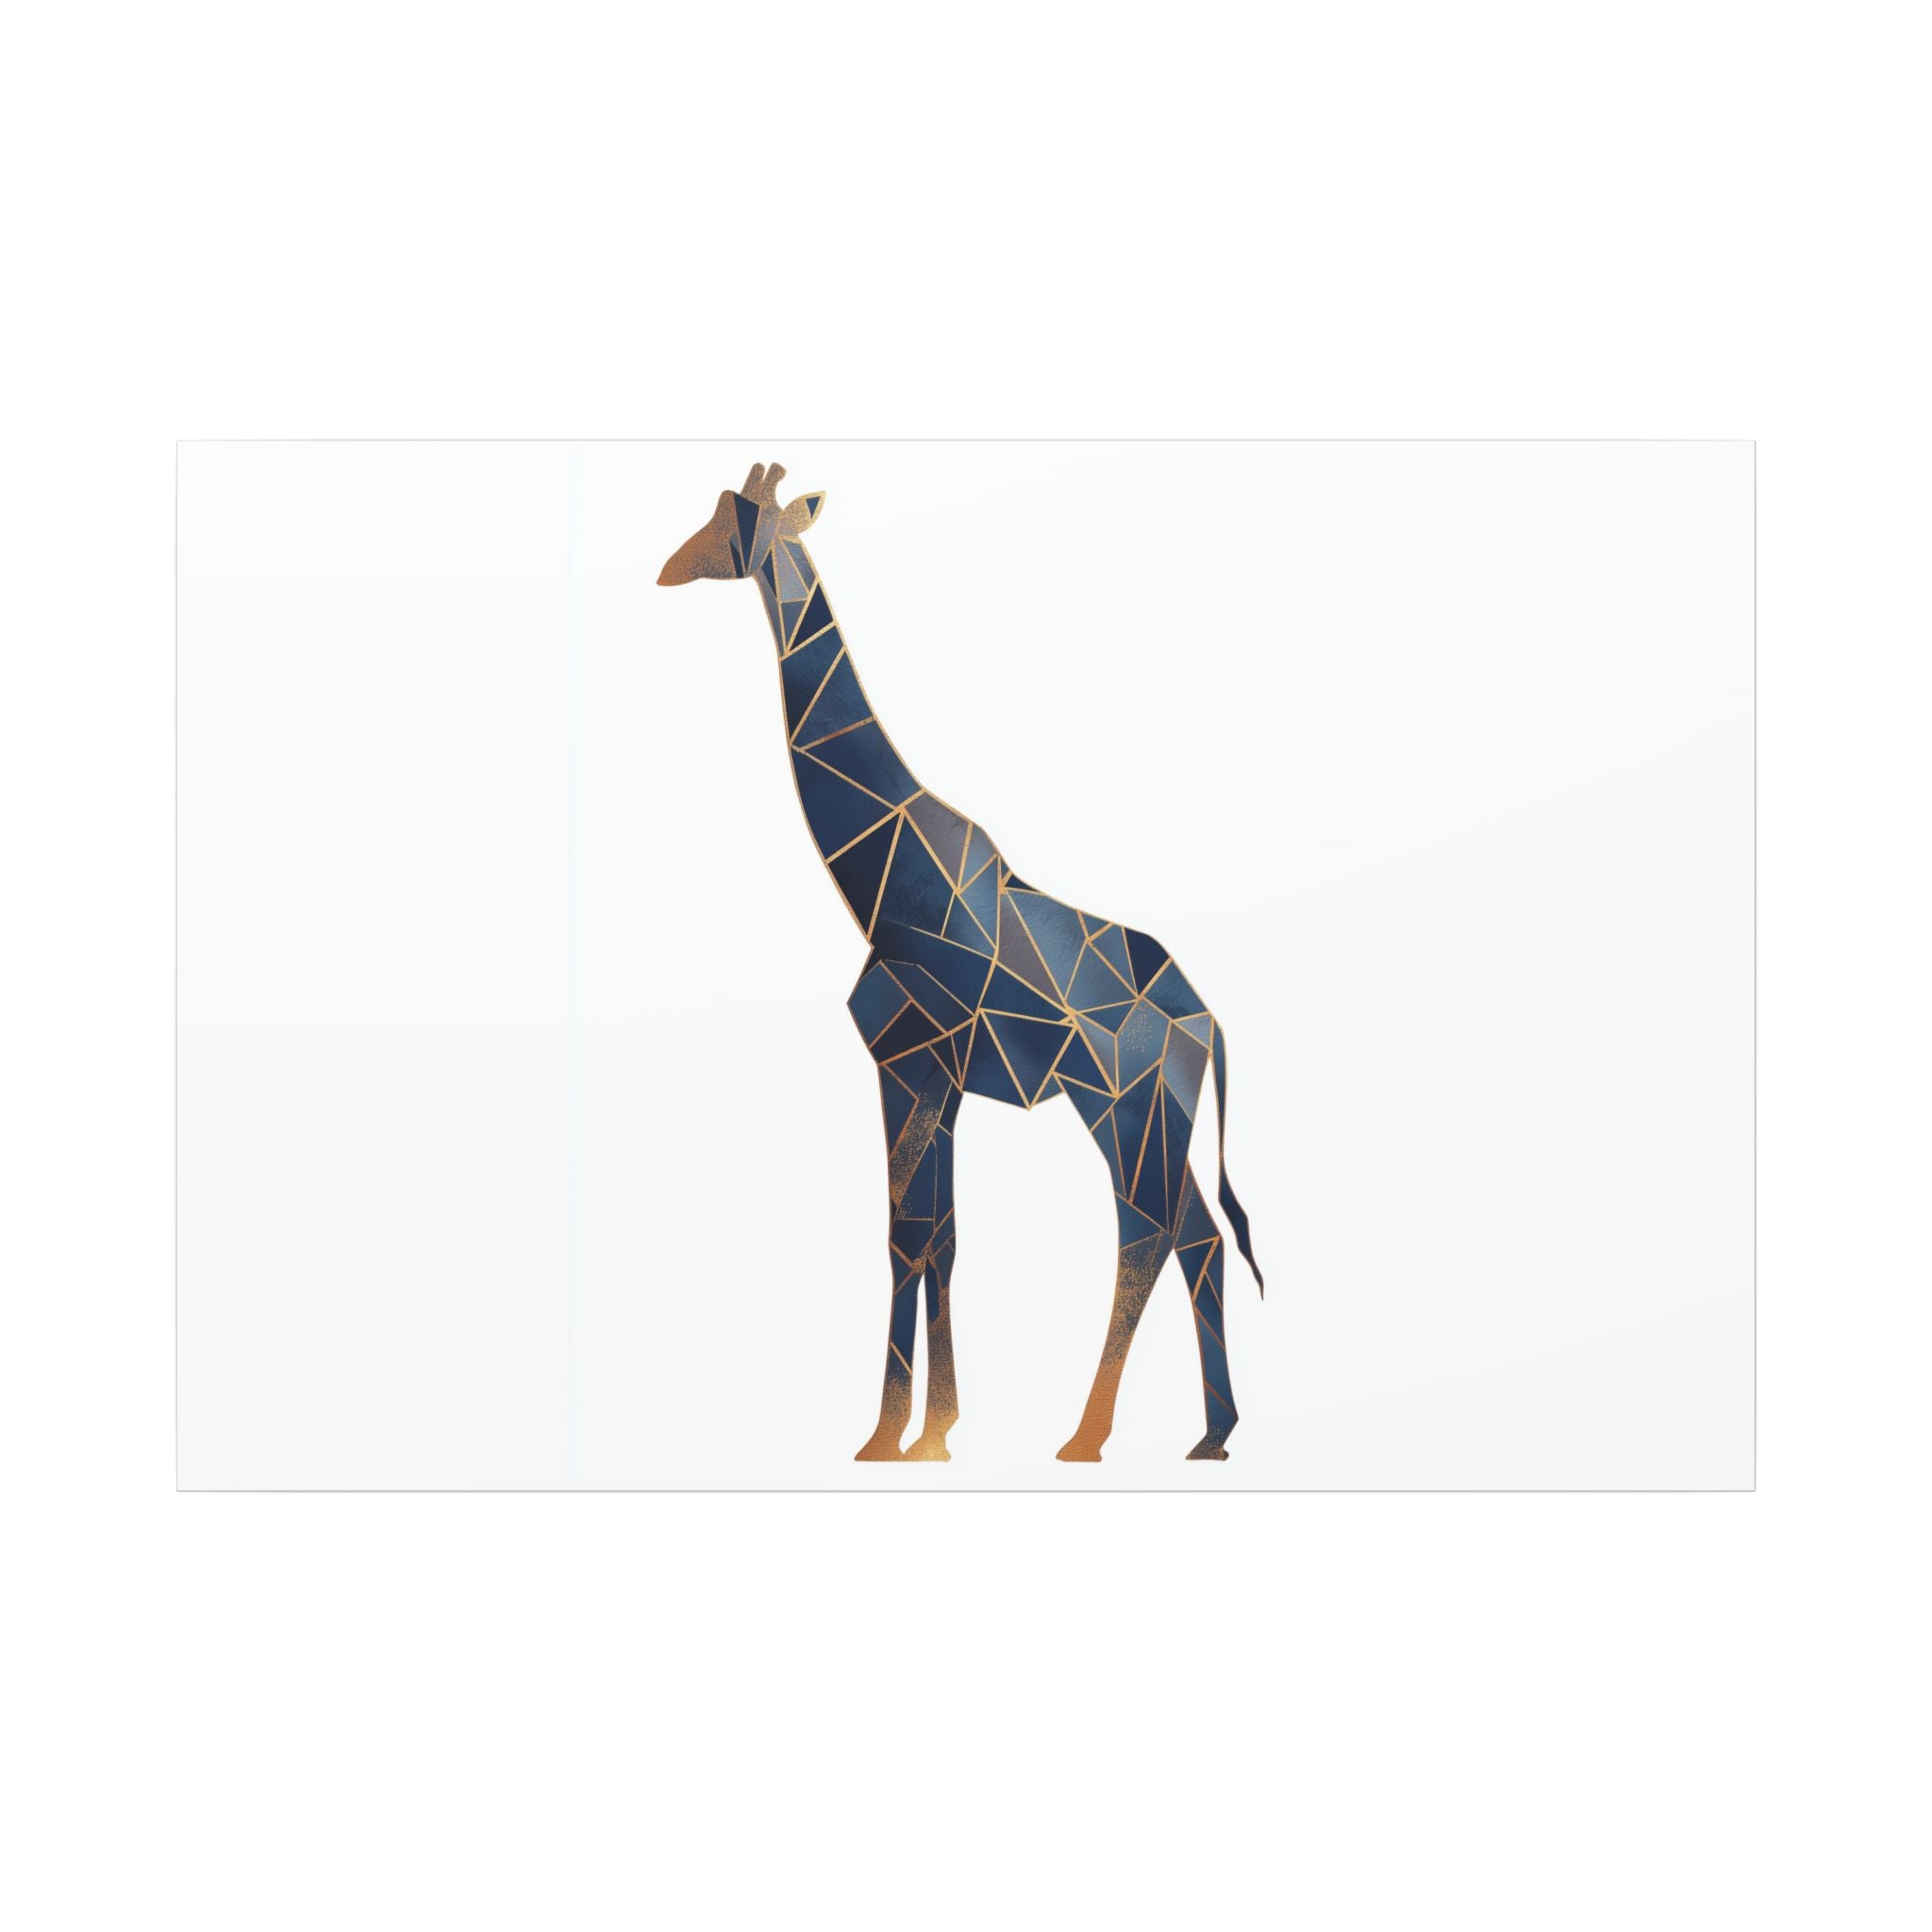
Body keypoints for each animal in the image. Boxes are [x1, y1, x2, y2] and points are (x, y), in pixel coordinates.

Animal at [658, 461, 1265, 1463]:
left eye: (734, 523)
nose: (669, 568)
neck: (881, 883)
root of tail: (1207, 1022)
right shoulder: (931, 1078)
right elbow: (933, 1237)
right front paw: (921, 1432)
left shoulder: (910, 1063)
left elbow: (910, 1237)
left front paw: (899, 1436)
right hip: (1155, 1113)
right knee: (1198, 1238)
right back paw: (1211, 1435)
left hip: (1122, 1105)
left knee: (1148, 1232)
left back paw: (1088, 1437)